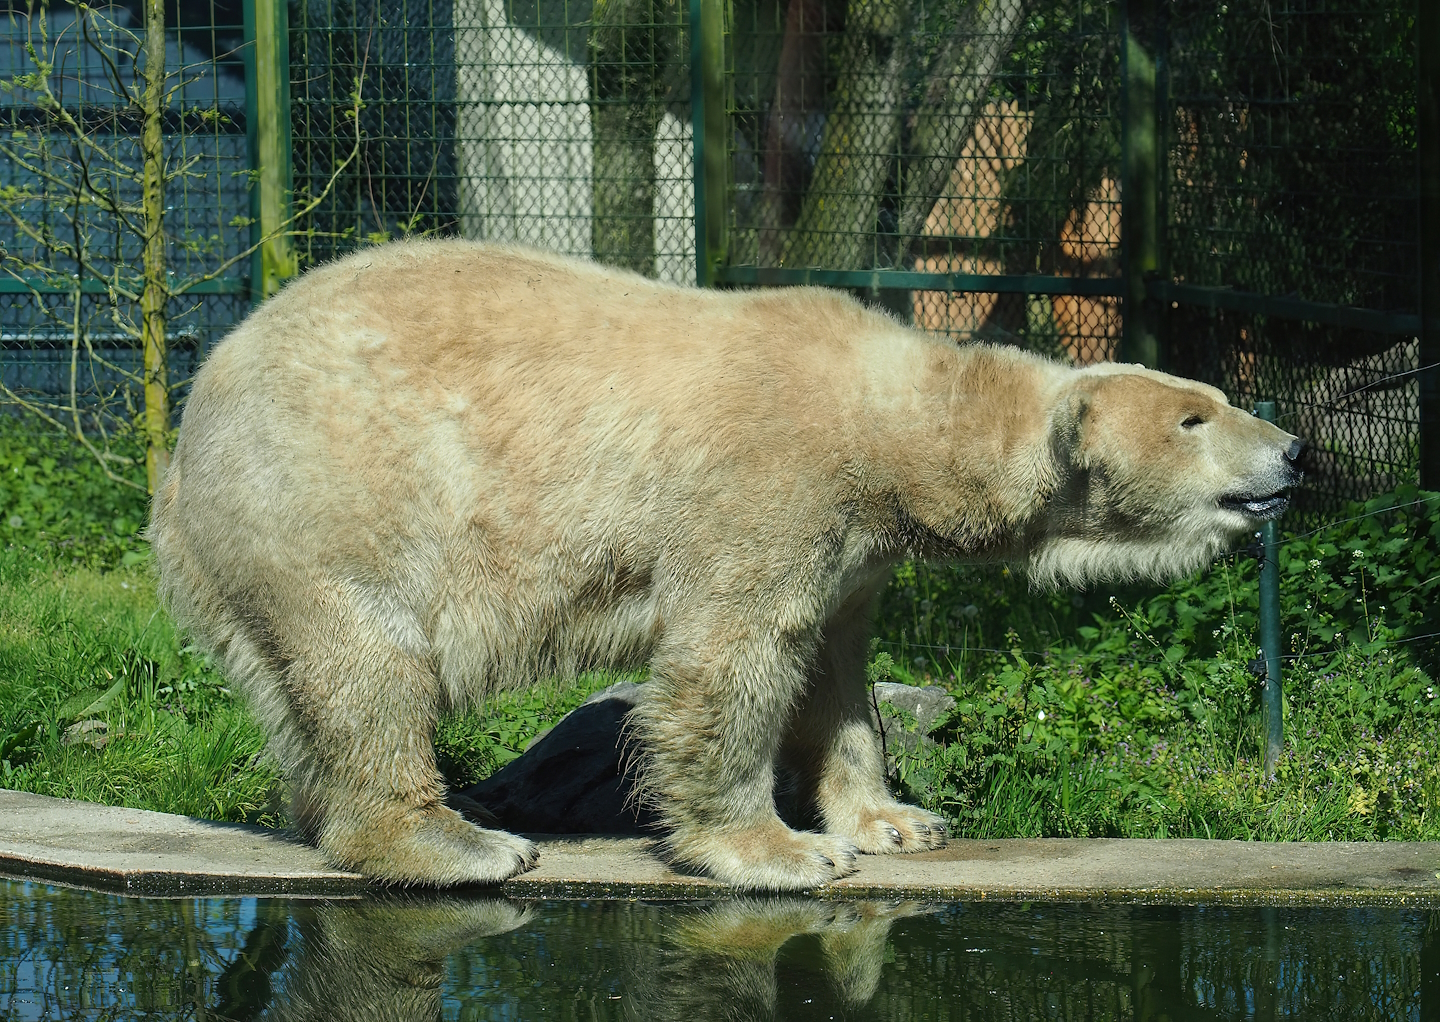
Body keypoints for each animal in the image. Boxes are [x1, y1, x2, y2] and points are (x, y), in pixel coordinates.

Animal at [149, 240, 1304, 890]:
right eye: (1196, 419)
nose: (1294, 450)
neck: (889, 414)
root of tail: (190, 422)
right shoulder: (768, 485)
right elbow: (731, 658)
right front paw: (780, 849)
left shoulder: (855, 550)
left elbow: (838, 676)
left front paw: (899, 819)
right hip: (328, 494)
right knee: (370, 665)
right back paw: (459, 841)